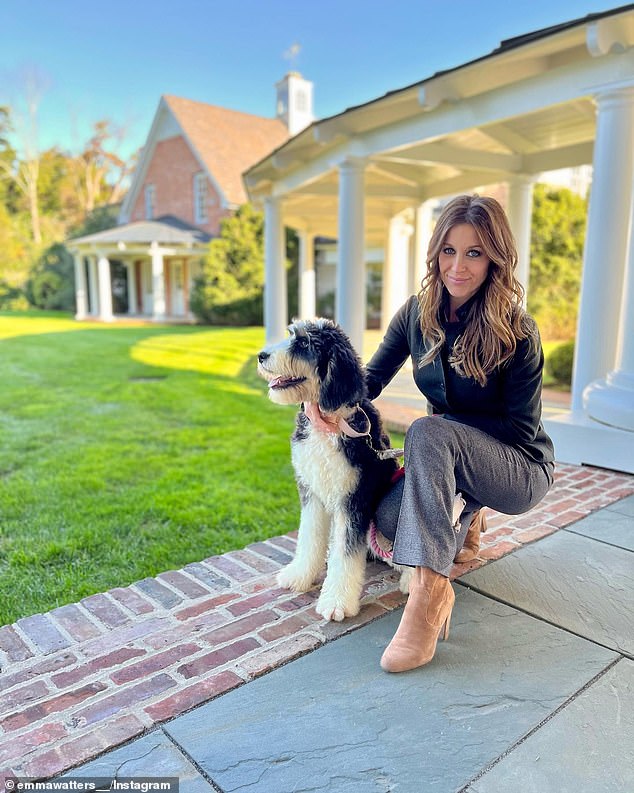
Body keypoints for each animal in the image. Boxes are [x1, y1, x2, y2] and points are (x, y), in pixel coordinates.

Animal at [256, 318, 404, 620]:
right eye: (291, 335)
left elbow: (345, 554)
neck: (328, 423)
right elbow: (309, 536)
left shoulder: (354, 499)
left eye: (303, 343)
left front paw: (336, 601)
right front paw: (300, 575)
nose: (261, 356)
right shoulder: (310, 490)